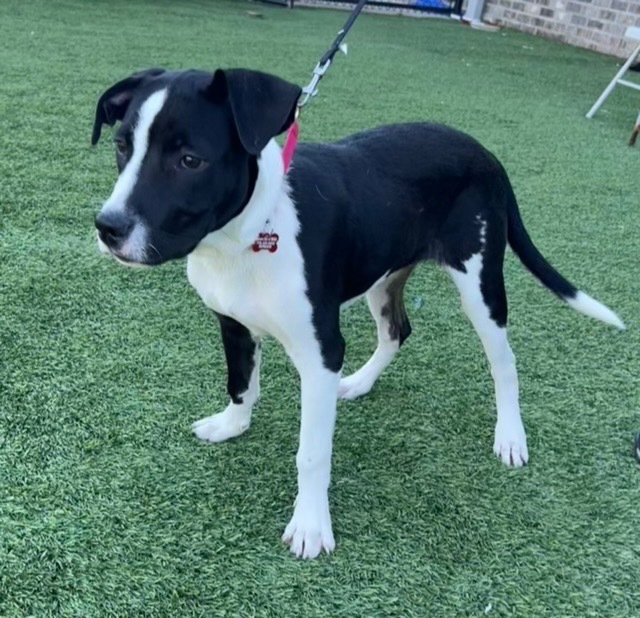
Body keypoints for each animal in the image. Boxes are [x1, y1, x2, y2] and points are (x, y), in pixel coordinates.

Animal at [94, 67, 624, 560]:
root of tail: (485, 153)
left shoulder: (320, 353)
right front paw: (232, 426)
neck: (251, 232)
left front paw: (310, 526)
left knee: (504, 362)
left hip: (479, 285)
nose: (107, 228)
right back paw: (360, 382)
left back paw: (510, 436)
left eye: (190, 160)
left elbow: (311, 453)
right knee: (396, 331)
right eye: (121, 146)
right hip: (383, 273)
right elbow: (240, 383)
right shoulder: (234, 325)